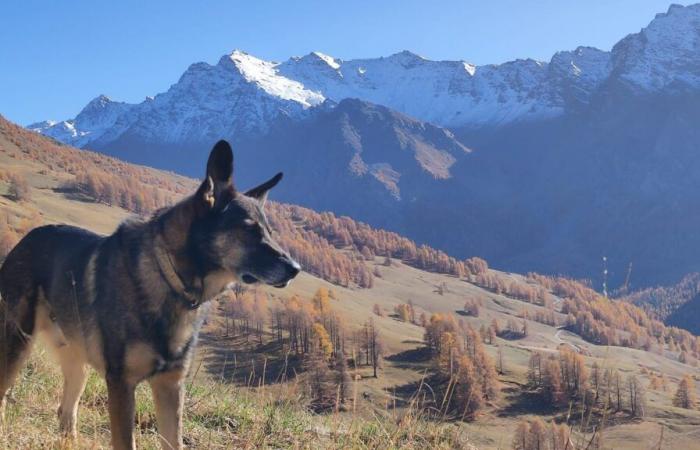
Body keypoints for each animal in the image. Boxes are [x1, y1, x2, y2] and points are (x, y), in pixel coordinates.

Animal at [0, 142, 298, 450]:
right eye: (249, 229)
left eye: (270, 232)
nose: (295, 269)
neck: (169, 276)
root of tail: (24, 241)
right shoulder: (121, 384)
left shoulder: (170, 386)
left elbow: (174, 442)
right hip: (16, 344)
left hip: (77, 362)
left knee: (66, 412)